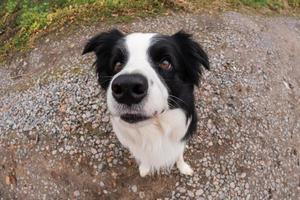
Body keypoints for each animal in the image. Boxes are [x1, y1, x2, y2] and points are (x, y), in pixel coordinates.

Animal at [82, 29, 209, 177]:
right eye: (117, 64)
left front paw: (183, 167)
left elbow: (179, 154)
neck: (154, 129)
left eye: (165, 63)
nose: (127, 87)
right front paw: (144, 168)